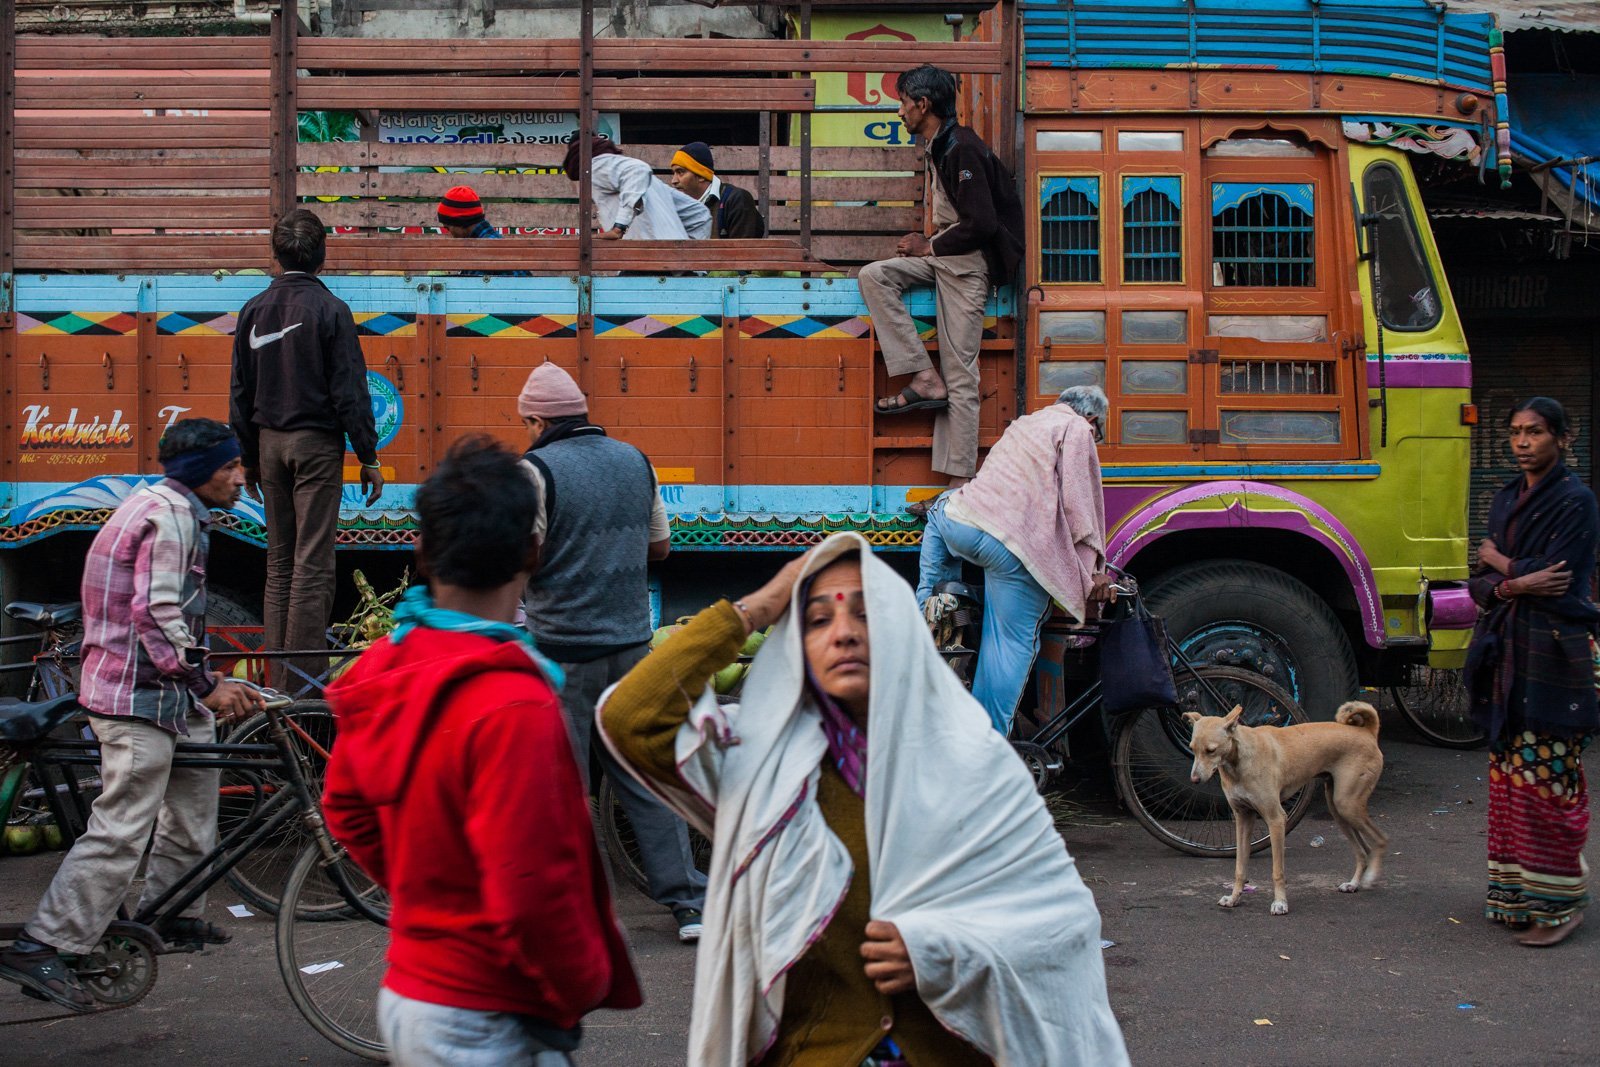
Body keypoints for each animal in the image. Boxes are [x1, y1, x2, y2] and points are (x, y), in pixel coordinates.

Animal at [1190, 700, 1388, 921]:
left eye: (1211, 750)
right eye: (1192, 749)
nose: (1194, 780)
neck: (1239, 759)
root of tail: (1367, 732)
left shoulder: (1276, 819)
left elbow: (1278, 871)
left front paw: (1280, 903)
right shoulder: (1243, 818)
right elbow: (1240, 867)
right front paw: (1234, 898)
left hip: (1347, 805)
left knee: (1381, 839)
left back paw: (1370, 877)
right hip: (1339, 810)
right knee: (1363, 851)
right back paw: (1354, 884)